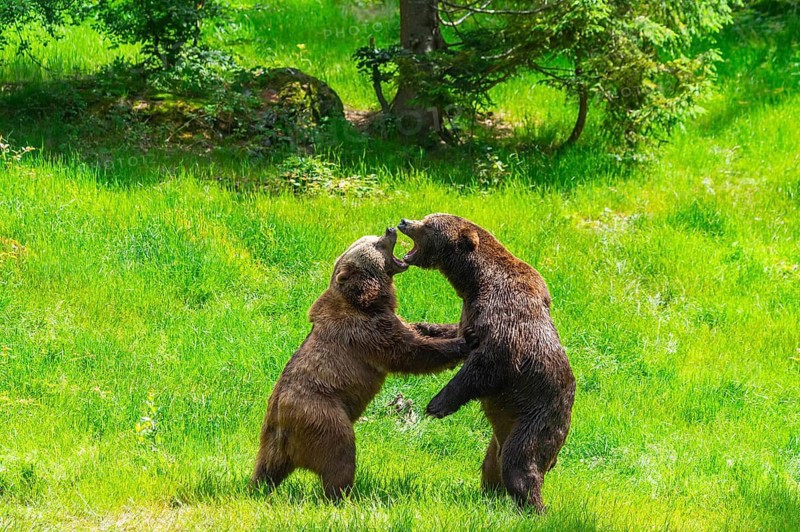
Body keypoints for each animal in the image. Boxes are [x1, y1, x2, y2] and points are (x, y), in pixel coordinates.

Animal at [251, 227, 474, 500]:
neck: (365, 299)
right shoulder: (363, 332)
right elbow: (409, 351)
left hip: (270, 440)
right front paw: (463, 342)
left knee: (266, 468)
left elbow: (415, 328)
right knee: (340, 455)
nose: (390, 229)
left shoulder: (383, 318)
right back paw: (343, 494)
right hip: (322, 414)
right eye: (376, 244)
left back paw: (258, 487)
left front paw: (450, 328)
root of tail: (282, 424)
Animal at [398, 213, 575, 512]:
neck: (474, 282)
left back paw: (534, 508)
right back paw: (490, 497)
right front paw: (421, 327)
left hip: (536, 419)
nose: (404, 222)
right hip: (501, 433)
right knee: (493, 464)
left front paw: (437, 405)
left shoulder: (505, 318)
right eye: (426, 217)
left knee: (521, 466)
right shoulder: (470, 312)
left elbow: (489, 362)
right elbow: (457, 335)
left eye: (429, 224)